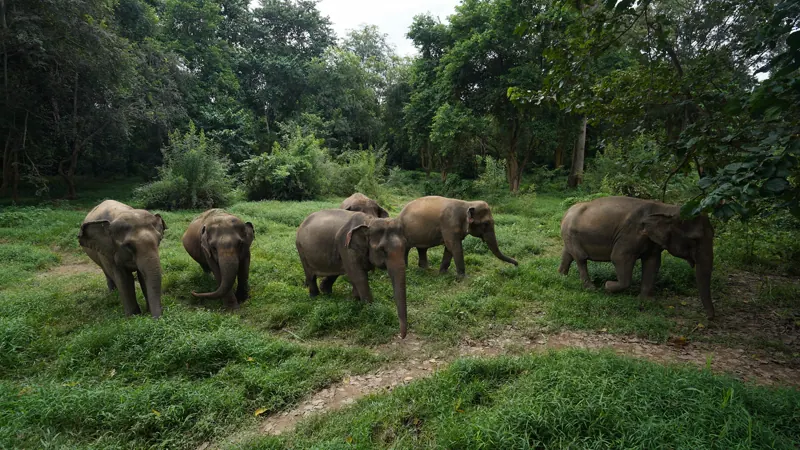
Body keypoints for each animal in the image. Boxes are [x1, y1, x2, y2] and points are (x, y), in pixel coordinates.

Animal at [295, 209, 408, 338]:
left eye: (405, 246)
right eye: (382, 250)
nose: (400, 336)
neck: (369, 221)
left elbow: (358, 275)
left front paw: (353, 300)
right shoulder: (345, 246)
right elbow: (358, 276)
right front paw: (370, 310)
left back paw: (327, 293)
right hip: (301, 249)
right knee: (310, 275)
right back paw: (315, 297)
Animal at [558, 196, 715, 319]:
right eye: (694, 239)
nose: (709, 318)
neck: (666, 208)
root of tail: (566, 212)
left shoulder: (652, 242)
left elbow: (653, 263)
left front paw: (647, 301)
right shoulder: (630, 234)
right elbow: (619, 257)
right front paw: (608, 286)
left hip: (569, 235)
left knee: (568, 254)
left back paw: (562, 277)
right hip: (571, 233)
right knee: (581, 258)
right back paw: (591, 288)